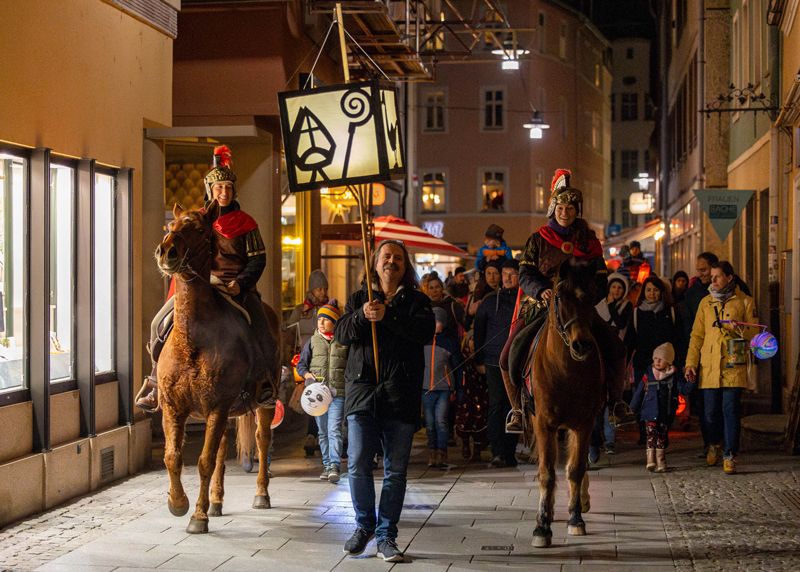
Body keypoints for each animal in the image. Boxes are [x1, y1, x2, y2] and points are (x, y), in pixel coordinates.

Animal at [155, 202, 282, 536]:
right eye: (171, 225)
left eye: (200, 229)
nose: (166, 252)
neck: (193, 340)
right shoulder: (173, 406)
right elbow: (172, 457)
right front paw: (178, 503)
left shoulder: (217, 406)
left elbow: (204, 461)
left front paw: (197, 517)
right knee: (224, 448)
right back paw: (216, 501)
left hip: (263, 402)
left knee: (262, 440)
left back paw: (261, 494)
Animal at [524, 262, 612, 548]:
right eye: (559, 297)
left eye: (592, 295)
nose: (582, 344)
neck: (565, 371)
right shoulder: (543, 424)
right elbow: (547, 473)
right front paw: (542, 526)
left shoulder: (584, 423)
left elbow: (575, 469)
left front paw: (576, 519)